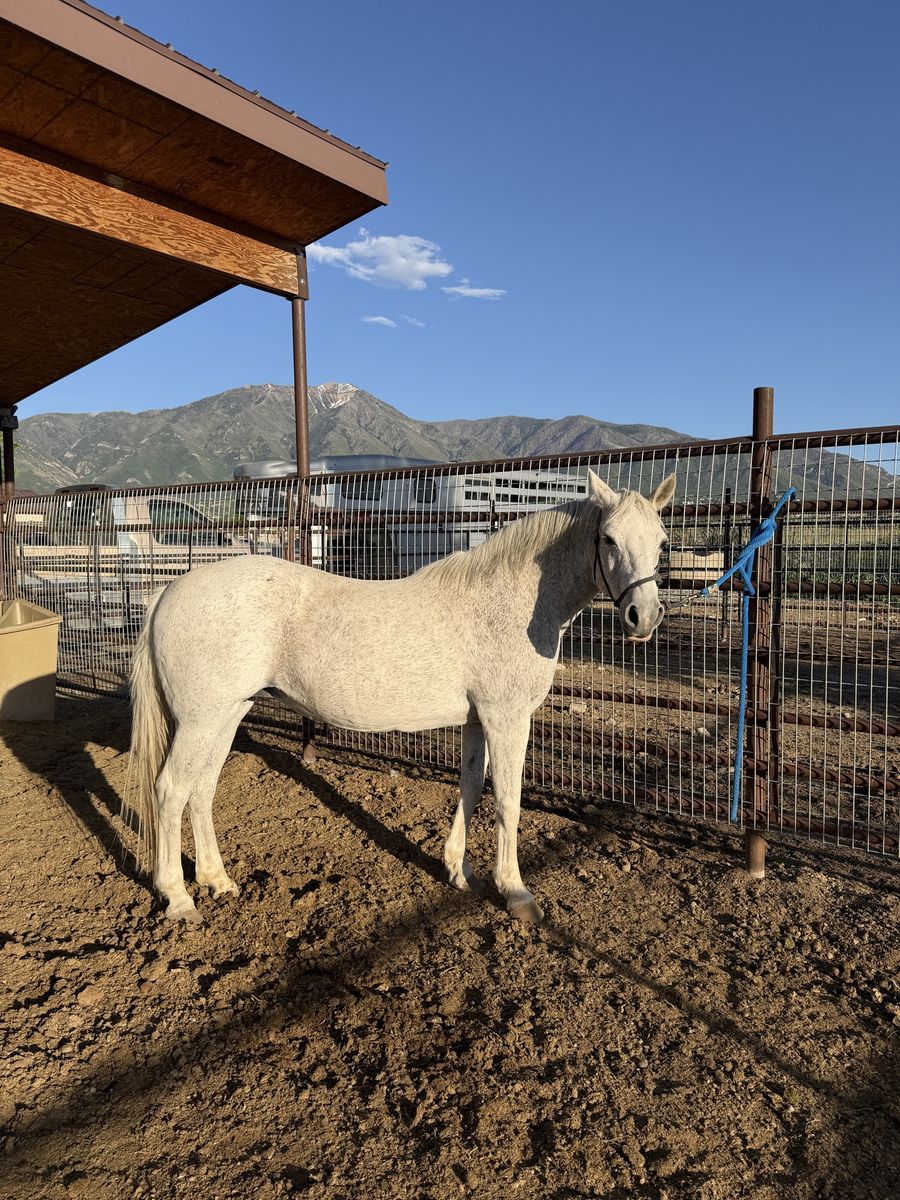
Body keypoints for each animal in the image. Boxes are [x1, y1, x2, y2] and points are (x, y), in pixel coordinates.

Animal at [127, 468, 675, 925]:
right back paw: (178, 898)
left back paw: (217, 880)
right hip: (202, 721)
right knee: (170, 789)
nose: (643, 618)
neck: (511, 601)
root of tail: (168, 592)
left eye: (662, 542)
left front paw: (459, 871)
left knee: (201, 790)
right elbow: (508, 800)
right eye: (608, 538)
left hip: (227, 714)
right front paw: (516, 892)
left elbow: (471, 787)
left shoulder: (477, 719)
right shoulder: (507, 717)